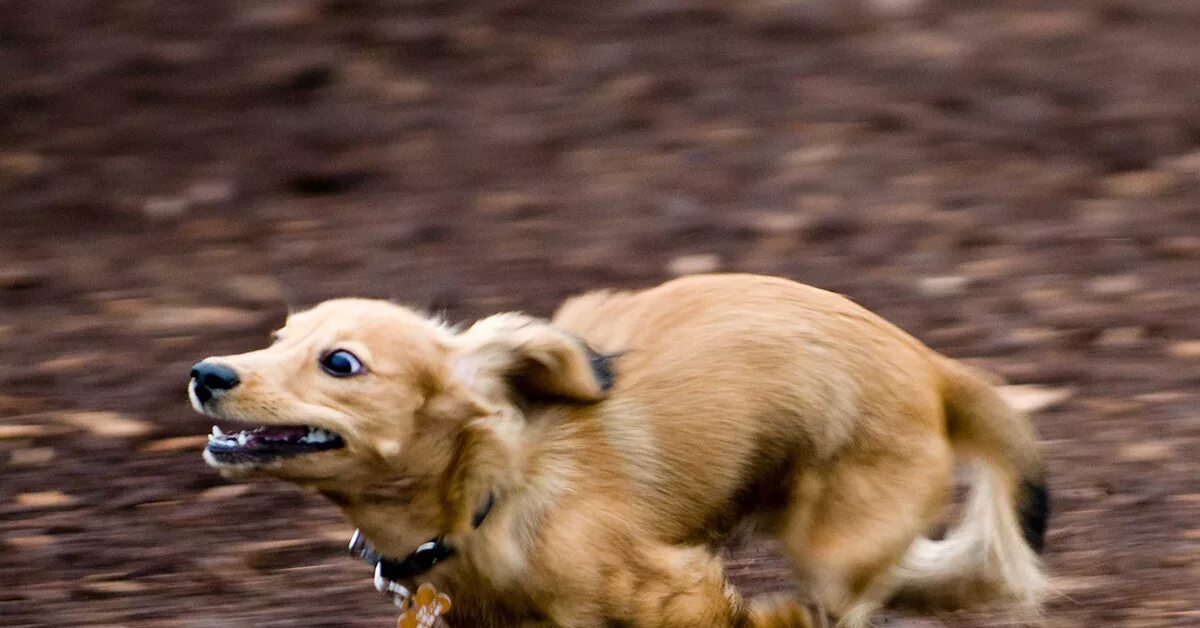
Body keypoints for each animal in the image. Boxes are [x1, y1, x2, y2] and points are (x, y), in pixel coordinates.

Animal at [189, 274, 1051, 628]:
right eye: (278, 338)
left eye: (340, 362)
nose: (206, 373)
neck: (487, 494)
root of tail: (933, 367)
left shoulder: (677, 593)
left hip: (833, 548)